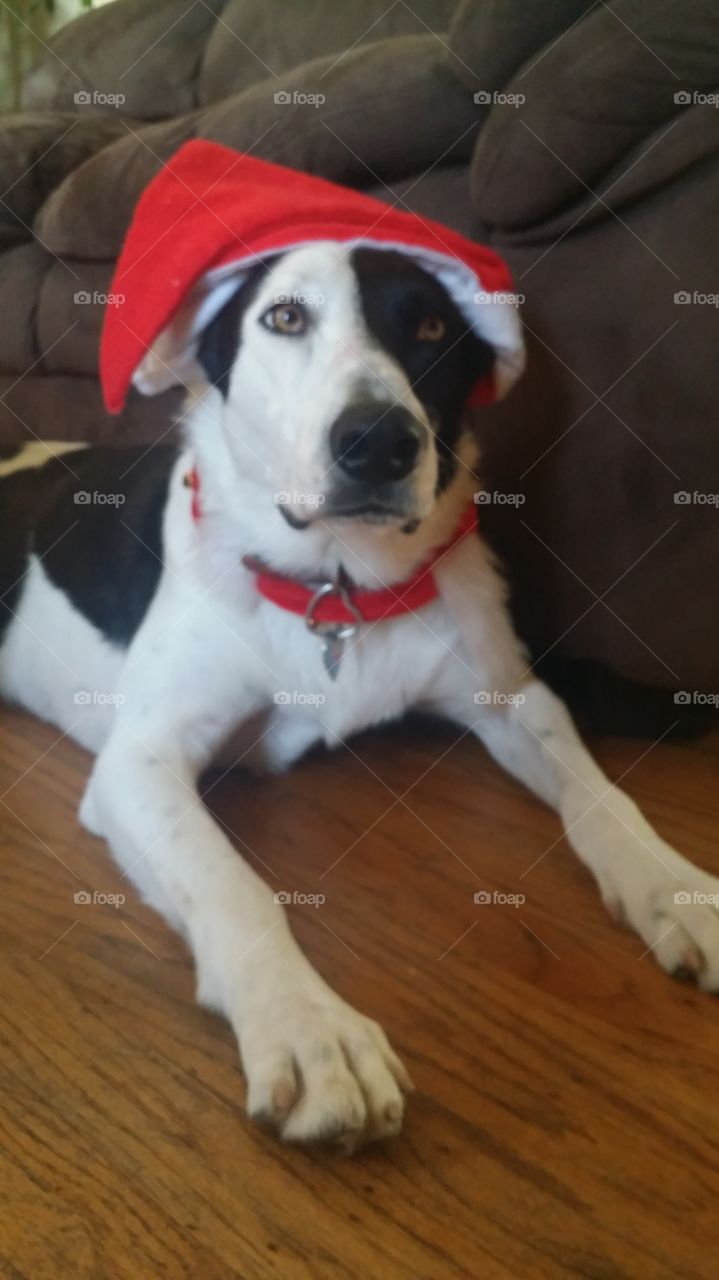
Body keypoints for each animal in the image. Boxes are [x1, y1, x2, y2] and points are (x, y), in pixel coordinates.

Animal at [1, 241, 716, 1152]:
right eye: (284, 315)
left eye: (433, 326)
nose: (377, 442)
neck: (335, 588)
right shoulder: (140, 763)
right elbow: (233, 883)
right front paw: (309, 1027)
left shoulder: (511, 698)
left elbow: (603, 799)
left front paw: (676, 886)